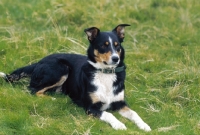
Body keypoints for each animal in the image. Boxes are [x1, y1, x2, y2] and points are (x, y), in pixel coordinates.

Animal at [0, 24, 151, 131]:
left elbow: (134, 113)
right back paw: (53, 99)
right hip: (61, 68)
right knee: (33, 89)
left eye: (117, 45)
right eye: (103, 46)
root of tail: (39, 61)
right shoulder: (91, 107)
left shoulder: (120, 103)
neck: (105, 73)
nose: (115, 59)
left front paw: (144, 125)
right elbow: (109, 114)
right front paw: (119, 125)